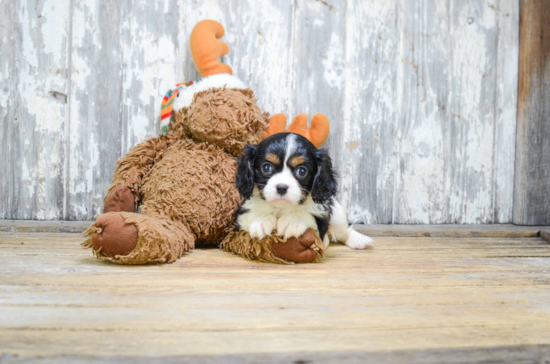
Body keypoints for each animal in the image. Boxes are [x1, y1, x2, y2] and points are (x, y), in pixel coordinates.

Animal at [235, 132, 374, 250]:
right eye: (266, 167)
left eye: (302, 171)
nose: (281, 187)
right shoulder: (239, 221)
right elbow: (251, 215)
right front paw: (262, 220)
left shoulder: (322, 214)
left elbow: (309, 216)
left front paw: (292, 220)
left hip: (337, 213)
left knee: (343, 230)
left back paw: (358, 240)